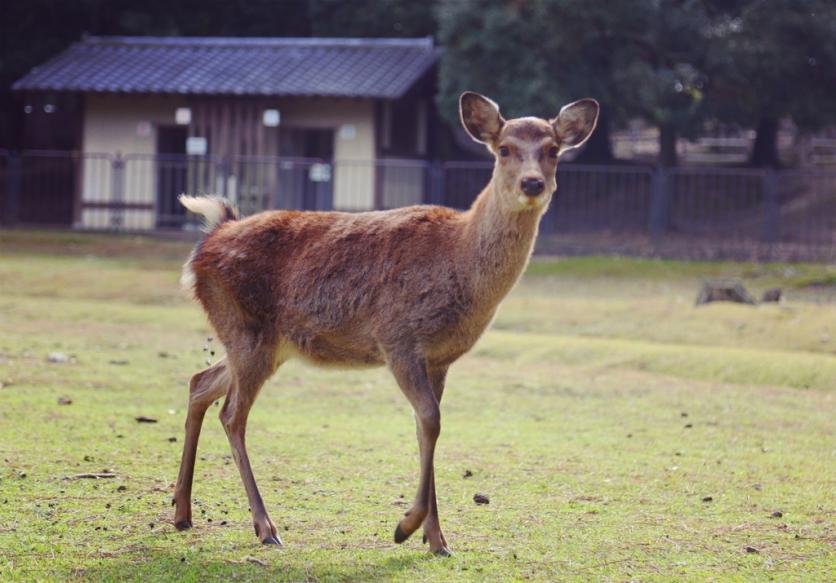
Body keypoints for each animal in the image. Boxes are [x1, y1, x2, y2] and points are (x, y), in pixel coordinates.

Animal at [173, 92, 596, 556]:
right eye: (503, 149)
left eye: (553, 150)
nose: (532, 184)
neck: (460, 261)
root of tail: (209, 238)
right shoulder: (398, 337)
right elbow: (430, 419)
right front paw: (406, 527)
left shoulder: (439, 359)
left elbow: (427, 426)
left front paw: (436, 539)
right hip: (245, 329)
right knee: (231, 414)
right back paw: (265, 526)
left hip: (262, 342)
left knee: (199, 383)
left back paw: (182, 511)